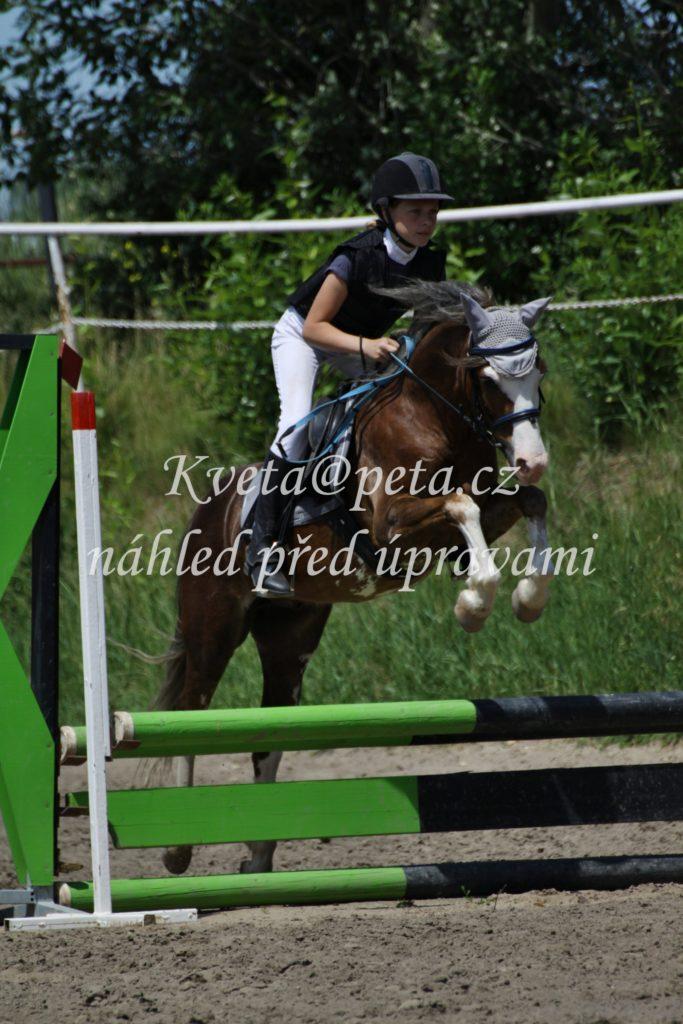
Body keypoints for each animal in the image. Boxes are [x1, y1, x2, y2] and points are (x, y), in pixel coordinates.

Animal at [144, 281, 553, 876]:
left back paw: (258, 859)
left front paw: (527, 598)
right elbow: (462, 506)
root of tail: (205, 512)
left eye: (538, 372)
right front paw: (473, 604)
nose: (533, 459)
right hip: (212, 630)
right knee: (188, 711)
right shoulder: (393, 525)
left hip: (289, 639)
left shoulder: (486, 506)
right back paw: (177, 851)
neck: (432, 417)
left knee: (267, 739)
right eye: (488, 379)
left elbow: (527, 501)